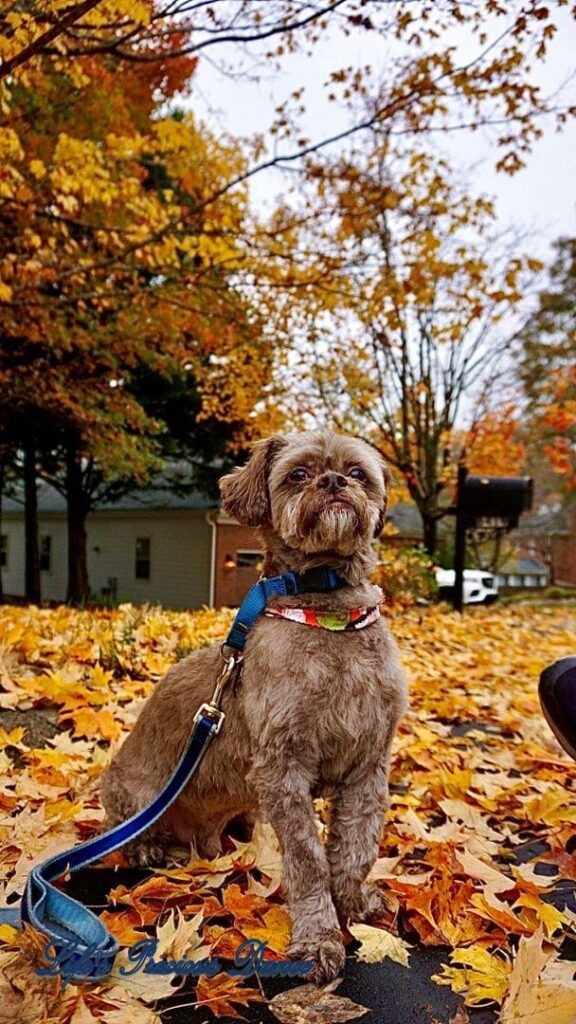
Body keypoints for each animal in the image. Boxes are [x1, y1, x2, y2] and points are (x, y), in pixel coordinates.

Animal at [103, 428, 407, 978]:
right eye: (298, 474)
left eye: (356, 472)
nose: (334, 483)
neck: (330, 615)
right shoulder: (283, 767)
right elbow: (309, 860)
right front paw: (319, 937)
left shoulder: (368, 765)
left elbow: (355, 848)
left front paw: (354, 905)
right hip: (132, 794)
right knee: (121, 831)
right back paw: (154, 848)